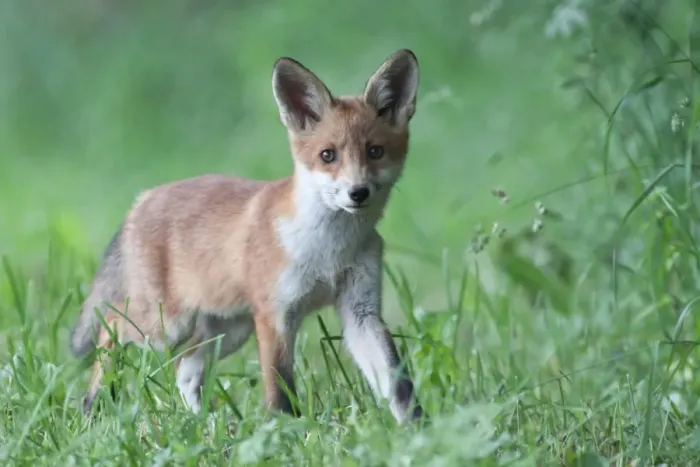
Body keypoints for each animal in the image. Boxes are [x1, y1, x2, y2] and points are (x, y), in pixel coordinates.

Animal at [70, 49, 424, 424]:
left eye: (375, 151)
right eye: (328, 155)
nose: (358, 193)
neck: (329, 253)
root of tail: (143, 198)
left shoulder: (360, 311)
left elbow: (398, 384)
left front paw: (416, 427)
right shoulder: (275, 313)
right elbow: (279, 386)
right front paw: (287, 430)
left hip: (227, 329)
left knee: (185, 368)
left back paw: (204, 423)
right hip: (164, 326)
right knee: (110, 325)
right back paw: (93, 403)